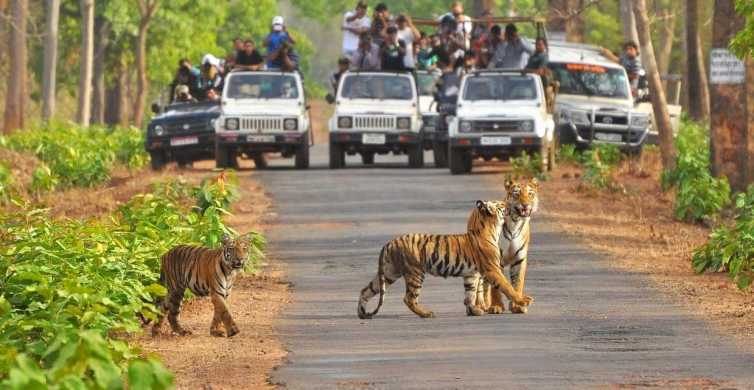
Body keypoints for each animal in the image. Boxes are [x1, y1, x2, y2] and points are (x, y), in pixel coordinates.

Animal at [356, 200, 532, 318]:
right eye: (501, 204)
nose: (509, 203)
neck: (490, 228)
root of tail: (390, 242)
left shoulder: (471, 274)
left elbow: (470, 293)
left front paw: (473, 311)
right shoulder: (492, 269)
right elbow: (507, 286)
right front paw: (523, 301)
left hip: (389, 273)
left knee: (366, 290)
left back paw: (361, 313)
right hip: (415, 273)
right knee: (409, 298)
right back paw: (426, 313)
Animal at [478, 178, 536, 316]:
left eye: (530, 194)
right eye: (516, 194)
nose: (525, 205)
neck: (516, 222)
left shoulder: (520, 259)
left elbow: (517, 283)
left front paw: (518, 306)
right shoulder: (496, 259)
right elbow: (496, 286)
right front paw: (496, 306)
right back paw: (483, 305)